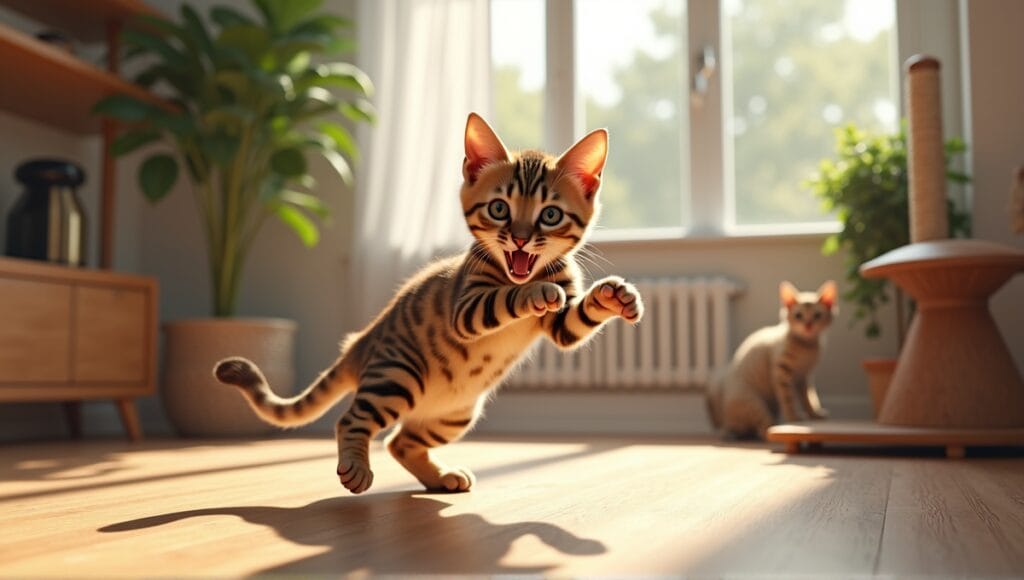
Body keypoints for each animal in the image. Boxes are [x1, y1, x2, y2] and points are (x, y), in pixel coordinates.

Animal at [215, 113, 643, 495]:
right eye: (499, 209)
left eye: (550, 215)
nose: (520, 239)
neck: (524, 271)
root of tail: (360, 343)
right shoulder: (465, 309)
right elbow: (504, 296)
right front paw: (534, 293)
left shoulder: (559, 325)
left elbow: (574, 320)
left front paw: (613, 296)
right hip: (397, 374)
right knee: (351, 420)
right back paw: (356, 466)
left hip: (455, 413)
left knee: (399, 442)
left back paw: (441, 478)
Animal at [708, 282, 835, 440]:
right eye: (798, 316)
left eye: (817, 315)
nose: (808, 325)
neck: (806, 347)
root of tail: (726, 421)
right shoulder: (781, 372)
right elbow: (787, 398)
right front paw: (793, 418)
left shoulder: (804, 377)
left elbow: (809, 398)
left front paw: (814, 414)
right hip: (754, 403)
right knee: (762, 428)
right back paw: (774, 430)